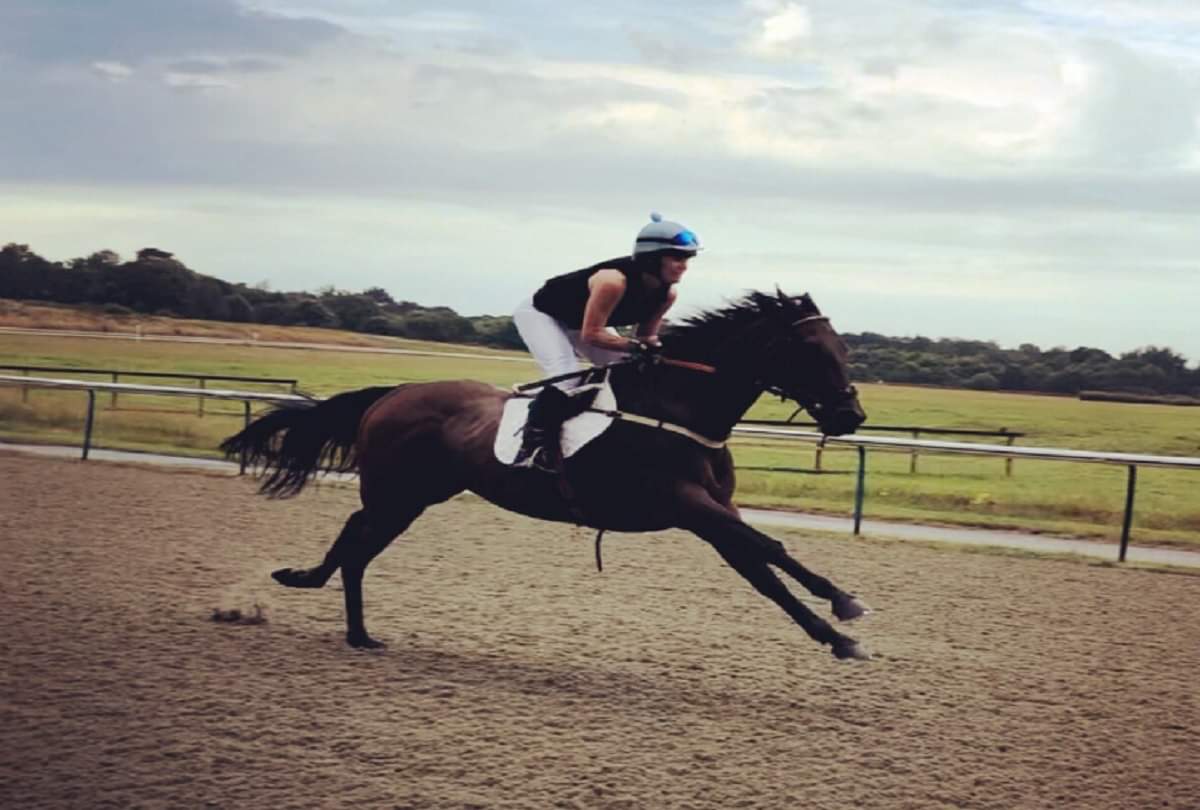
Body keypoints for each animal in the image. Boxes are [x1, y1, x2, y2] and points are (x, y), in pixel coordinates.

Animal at [220, 290, 871, 660]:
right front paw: (844, 602)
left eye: (844, 349)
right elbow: (770, 547)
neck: (679, 407)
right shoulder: (686, 503)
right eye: (813, 351)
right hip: (397, 493)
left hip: (413, 497)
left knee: (357, 545)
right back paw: (327, 602)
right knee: (356, 543)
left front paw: (837, 635)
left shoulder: (712, 515)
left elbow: (763, 572)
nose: (851, 415)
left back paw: (345, 619)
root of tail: (394, 392)